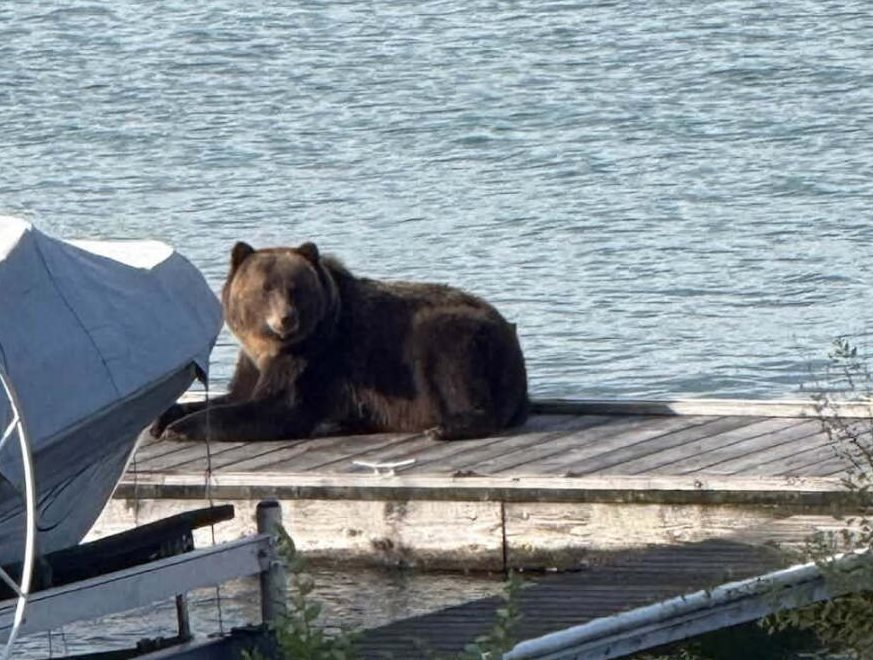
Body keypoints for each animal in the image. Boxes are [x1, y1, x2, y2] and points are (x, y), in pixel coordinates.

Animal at [150, 241, 528, 443]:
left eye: (295, 288)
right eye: (266, 289)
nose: (286, 318)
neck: (270, 346)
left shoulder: (314, 359)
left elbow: (274, 407)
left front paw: (180, 429)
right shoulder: (254, 362)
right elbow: (234, 395)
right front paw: (164, 418)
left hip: (455, 336)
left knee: (452, 365)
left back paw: (445, 427)